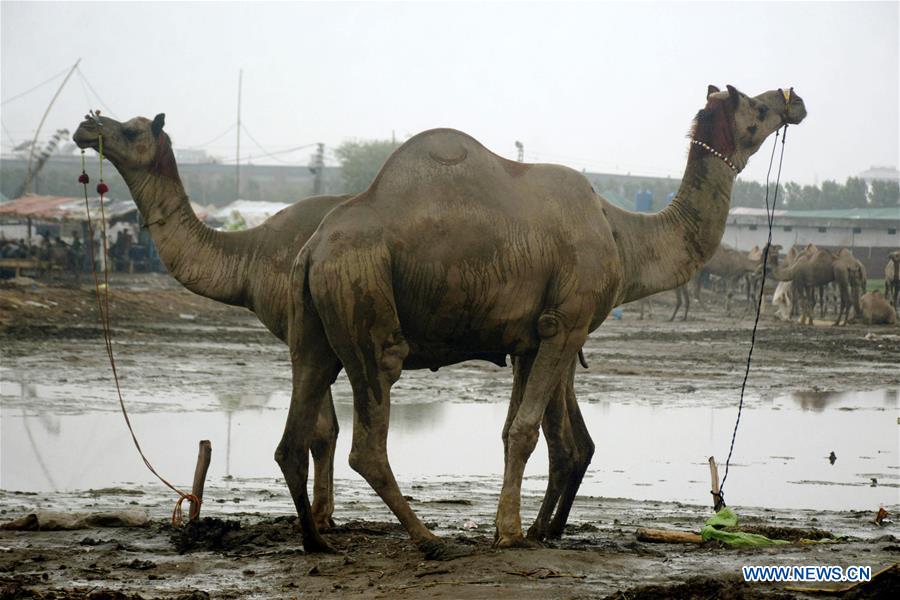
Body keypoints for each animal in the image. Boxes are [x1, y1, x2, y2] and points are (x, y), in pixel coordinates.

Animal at [284, 82, 804, 556]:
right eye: (756, 107)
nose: (793, 99)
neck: (621, 235)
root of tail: (313, 248)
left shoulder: (533, 338)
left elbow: (531, 435)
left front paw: (523, 528)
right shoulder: (566, 323)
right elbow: (528, 432)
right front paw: (512, 533)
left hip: (312, 326)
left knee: (296, 428)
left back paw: (317, 541)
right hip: (362, 295)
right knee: (369, 435)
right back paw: (430, 540)